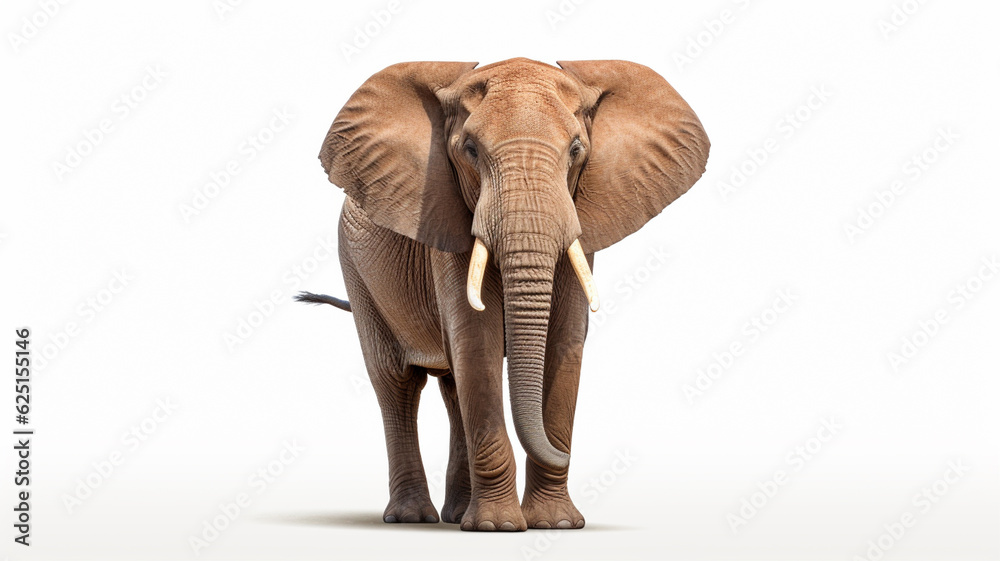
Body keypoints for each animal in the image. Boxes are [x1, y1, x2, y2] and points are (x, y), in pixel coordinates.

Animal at [298, 58, 709, 531]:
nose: (564, 451)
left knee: (452, 385)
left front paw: (556, 525)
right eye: (470, 150)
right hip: (356, 267)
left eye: (576, 150)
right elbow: (478, 344)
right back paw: (413, 517)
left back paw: (456, 515)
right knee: (396, 382)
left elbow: (564, 345)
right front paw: (498, 528)